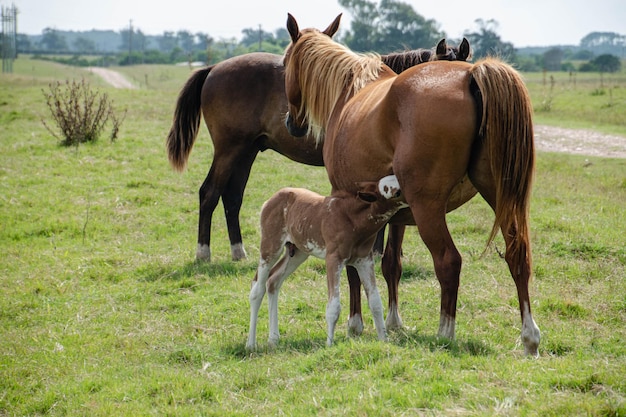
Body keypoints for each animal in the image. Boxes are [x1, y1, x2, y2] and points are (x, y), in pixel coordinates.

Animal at [166, 39, 468, 264]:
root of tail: (214, 67)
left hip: (246, 151)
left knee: (232, 197)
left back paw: (238, 251)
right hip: (229, 150)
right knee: (209, 193)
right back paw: (203, 252)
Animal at [245, 174, 404, 350]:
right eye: (396, 192)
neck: (352, 219)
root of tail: (269, 201)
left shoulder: (364, 261)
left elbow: (375, 301)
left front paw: (384, 340)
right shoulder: (333, 259)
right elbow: (334, 306)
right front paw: (329, 344)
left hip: (298, 252)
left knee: (273, 281)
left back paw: (273, 339)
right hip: (270, 247)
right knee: (257, 289)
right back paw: (250, 344)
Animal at [282, 14, 540, 356]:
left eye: (284, 63)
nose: (291, 123)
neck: (351, 92)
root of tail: (471, 75)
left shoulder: (346, 203)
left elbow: (353, 267)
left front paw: (355, 324)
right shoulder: (395, 213)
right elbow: (392, 262)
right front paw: (393, 322)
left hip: (428, 207)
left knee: (448, 261)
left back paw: (445, 332)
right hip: (499, 196)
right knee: (517, 254)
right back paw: (529, 337)